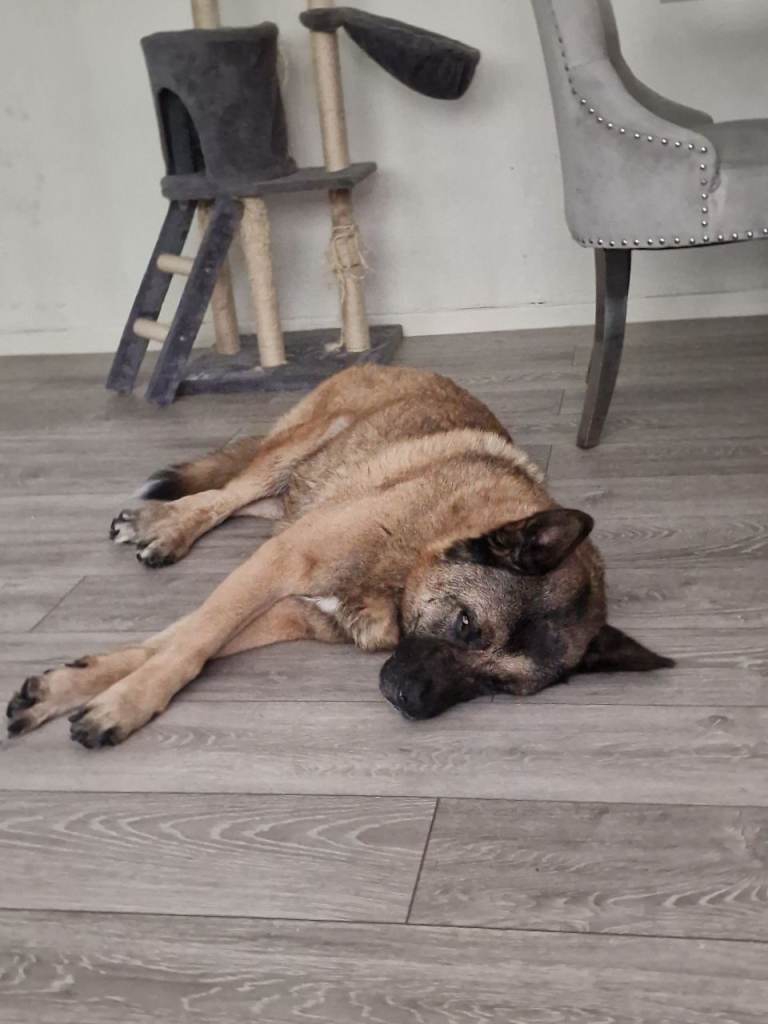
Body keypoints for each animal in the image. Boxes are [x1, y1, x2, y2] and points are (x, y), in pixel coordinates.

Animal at [6, 365, 673, 746]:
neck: (413, 557)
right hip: (302, 444)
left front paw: (76, 685)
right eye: (465, 625)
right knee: (225, 495)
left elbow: (171, 640)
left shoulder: (289, 610)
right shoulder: (276, 566)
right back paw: (167, 526)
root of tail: (390, 359)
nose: (409, 704)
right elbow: (188, 644)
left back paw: (163, 525)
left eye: (498, 687)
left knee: (254, 502)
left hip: (303, 485)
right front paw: (122, 704)